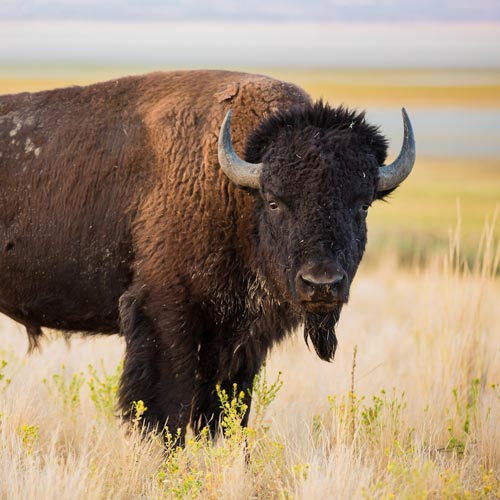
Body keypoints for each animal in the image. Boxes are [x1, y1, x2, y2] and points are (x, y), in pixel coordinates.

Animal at [0, 70, 414, 442]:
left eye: (362, 205)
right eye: (274, 201)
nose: (322, 284)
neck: (235, 191)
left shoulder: (242, 340)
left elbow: (226, 412)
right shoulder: (165, 316)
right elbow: (167, 411)